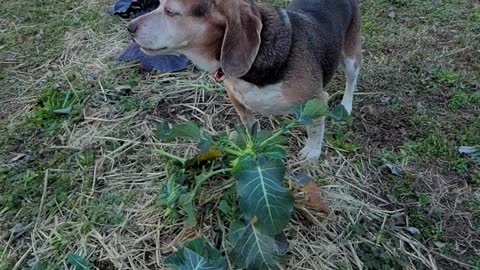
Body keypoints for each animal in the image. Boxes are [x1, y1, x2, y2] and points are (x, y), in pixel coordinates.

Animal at [126, 0, 360, 160]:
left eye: (171, 12)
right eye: (158, 4)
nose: (129, 27)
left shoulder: (317, 99)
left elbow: (315, 128)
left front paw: (312, 152)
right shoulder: (236, 98)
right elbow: (249, 125)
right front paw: (252, 144)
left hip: (351, 56)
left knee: (351, 80)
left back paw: (346, 106)